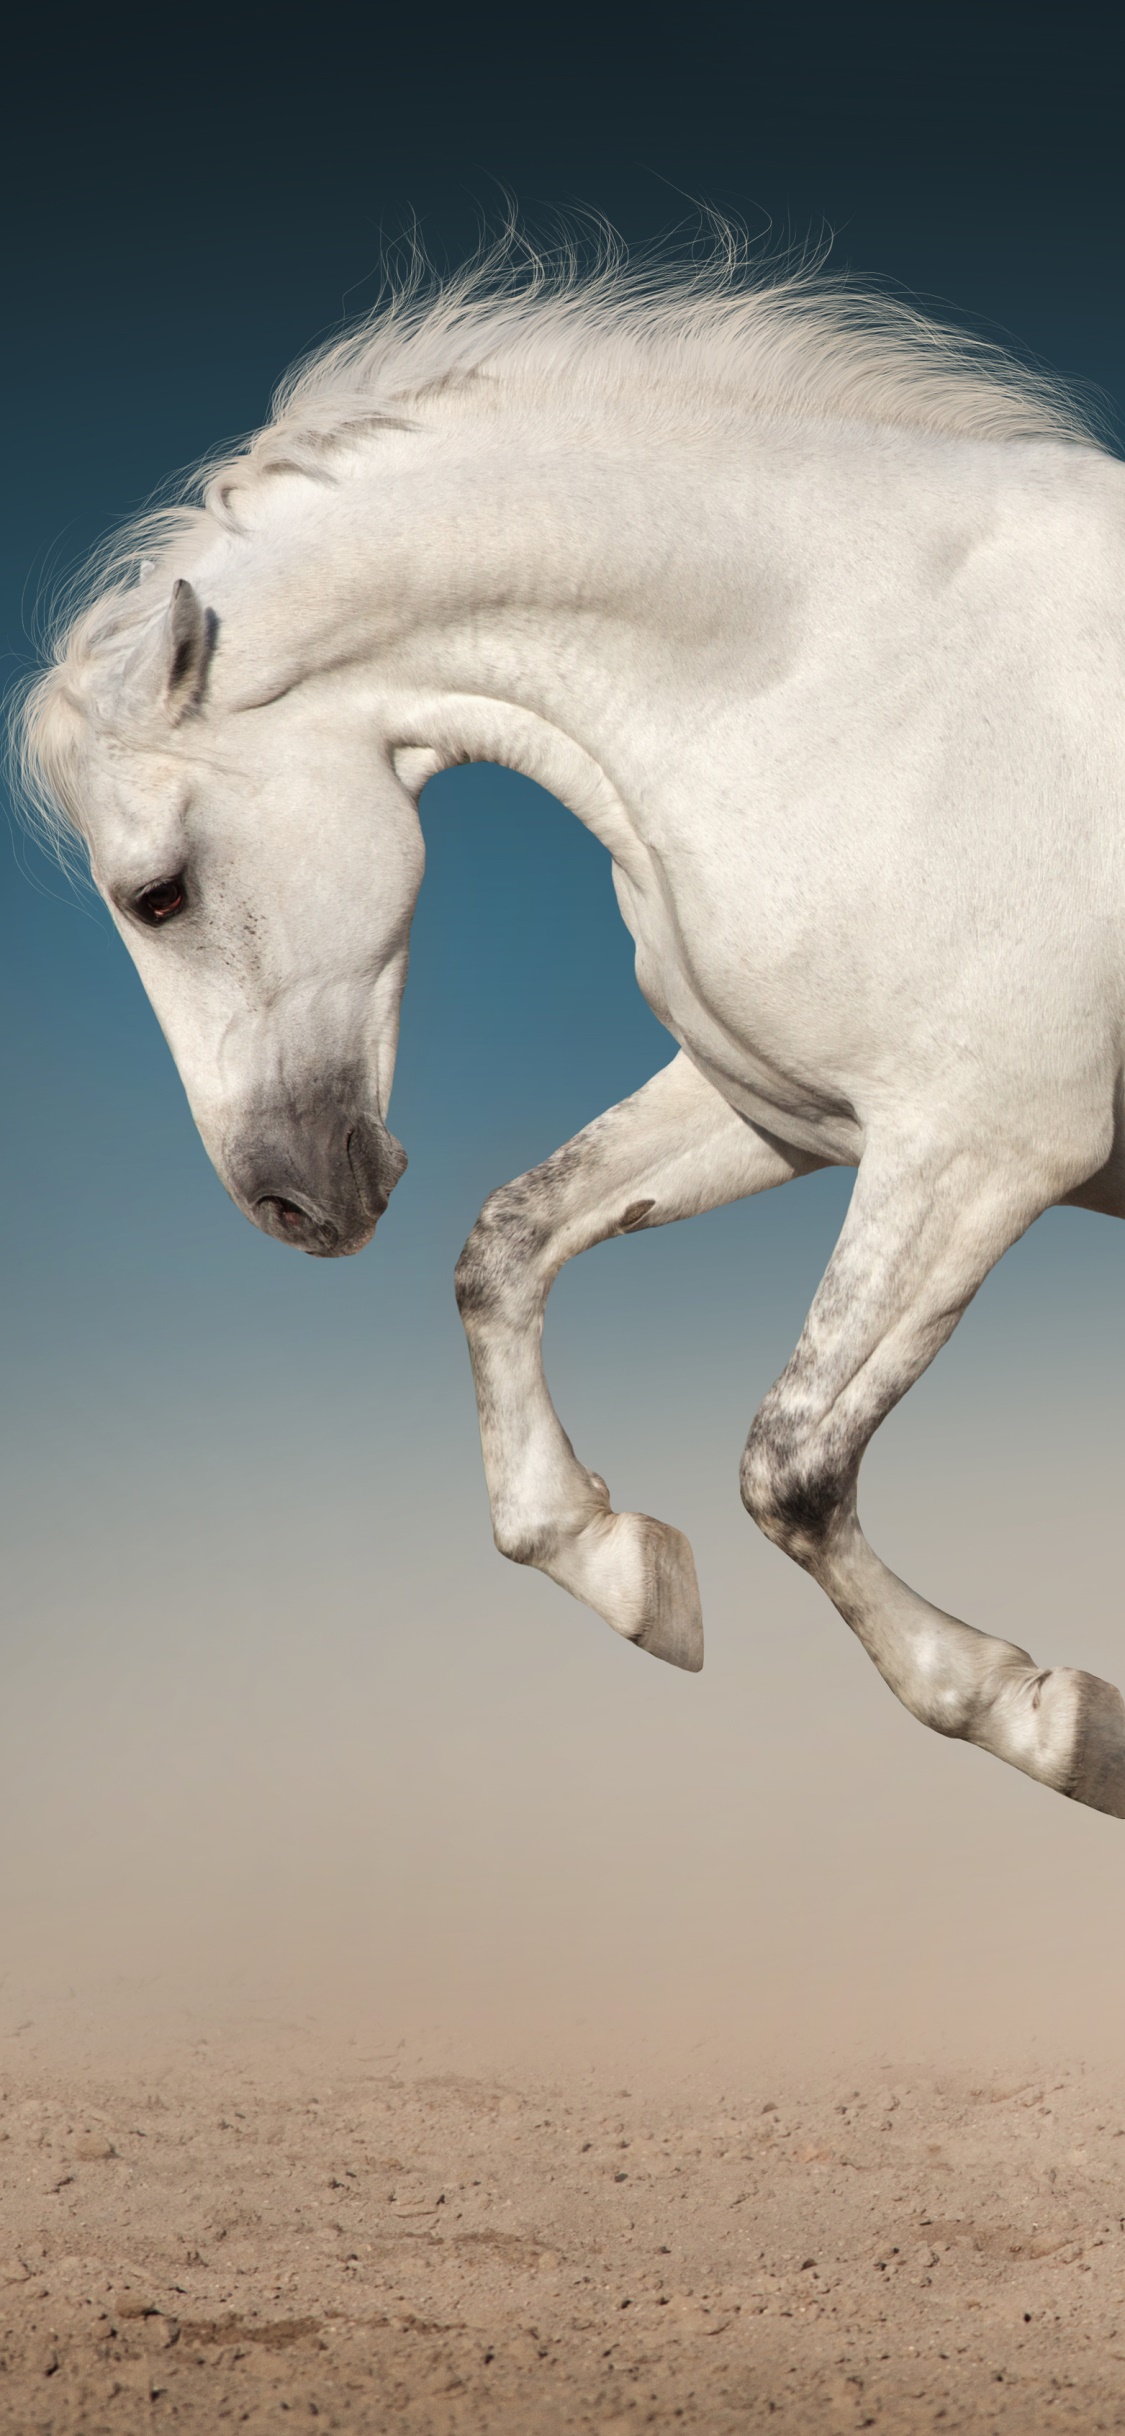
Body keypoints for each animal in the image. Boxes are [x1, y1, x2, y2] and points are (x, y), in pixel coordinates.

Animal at [17, 238, 1125, 1820]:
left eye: (156, 895)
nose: (289, 1203)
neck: (839, 667)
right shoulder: (786, 1115)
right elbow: (507, 1247)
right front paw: (621, 1569)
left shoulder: (982, 1150)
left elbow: (791, 1464)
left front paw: (1053, 1719)